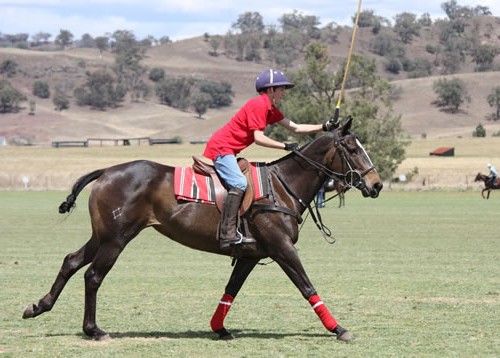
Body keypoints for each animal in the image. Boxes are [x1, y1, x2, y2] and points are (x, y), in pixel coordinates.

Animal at [22, 118, 382, 342]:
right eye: (352, 149)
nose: (376, 185)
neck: (283, 187)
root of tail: (106, 170)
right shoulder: (282, 248)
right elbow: (307, 286)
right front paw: (339, 329)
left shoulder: (251, 254)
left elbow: (231, 290)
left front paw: (219, 328)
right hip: (117, 237)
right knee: (93, 275)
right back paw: (94, 329)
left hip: (102, 235)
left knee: (71, 261)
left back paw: (38, 306)